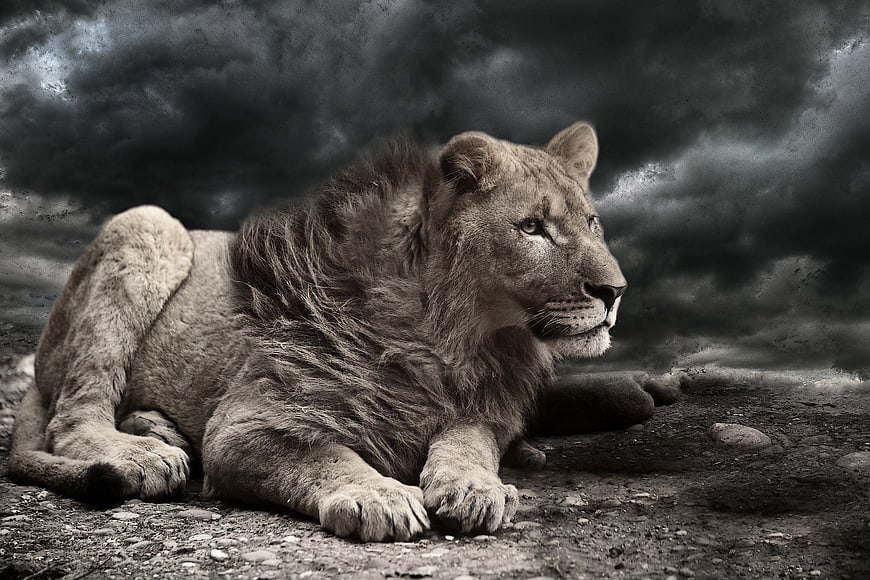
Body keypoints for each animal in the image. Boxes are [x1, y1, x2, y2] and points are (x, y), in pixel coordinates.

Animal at [8, 122, 676, 541]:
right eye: (532, 228)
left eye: (592, 223)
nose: (614, 291)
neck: (457, 339)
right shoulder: (244, 425)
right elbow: (324, 453)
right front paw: (377, 495)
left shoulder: (479, 401)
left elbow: (471, 439)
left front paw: (475, 484)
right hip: (149, 227)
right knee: (73, 418)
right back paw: (142, 451)